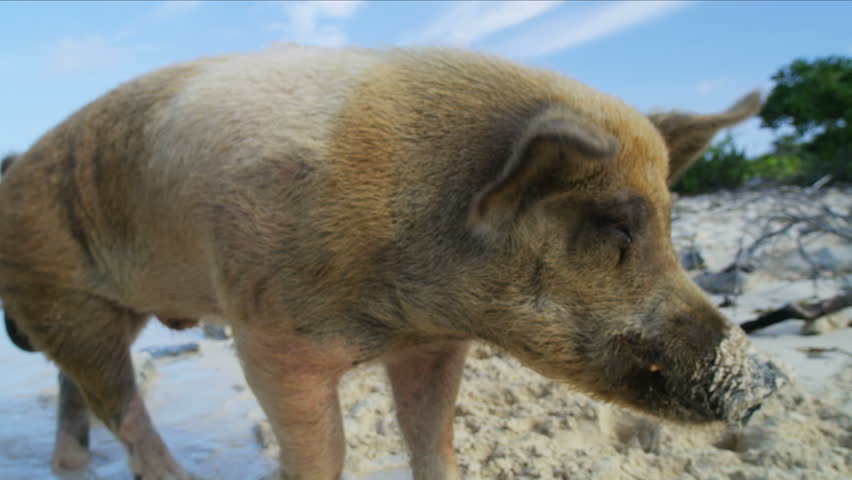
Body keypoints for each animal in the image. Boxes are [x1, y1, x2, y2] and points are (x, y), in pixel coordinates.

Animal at [0, 45, 784, 480]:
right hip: (63, 296)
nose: (762, 380)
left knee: (78, 396)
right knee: (120, 407)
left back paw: (72, 468)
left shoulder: (435, 344)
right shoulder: (268, 335)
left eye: (672, 222)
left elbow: (435, 441)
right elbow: (323, 454)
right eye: (615, 223)